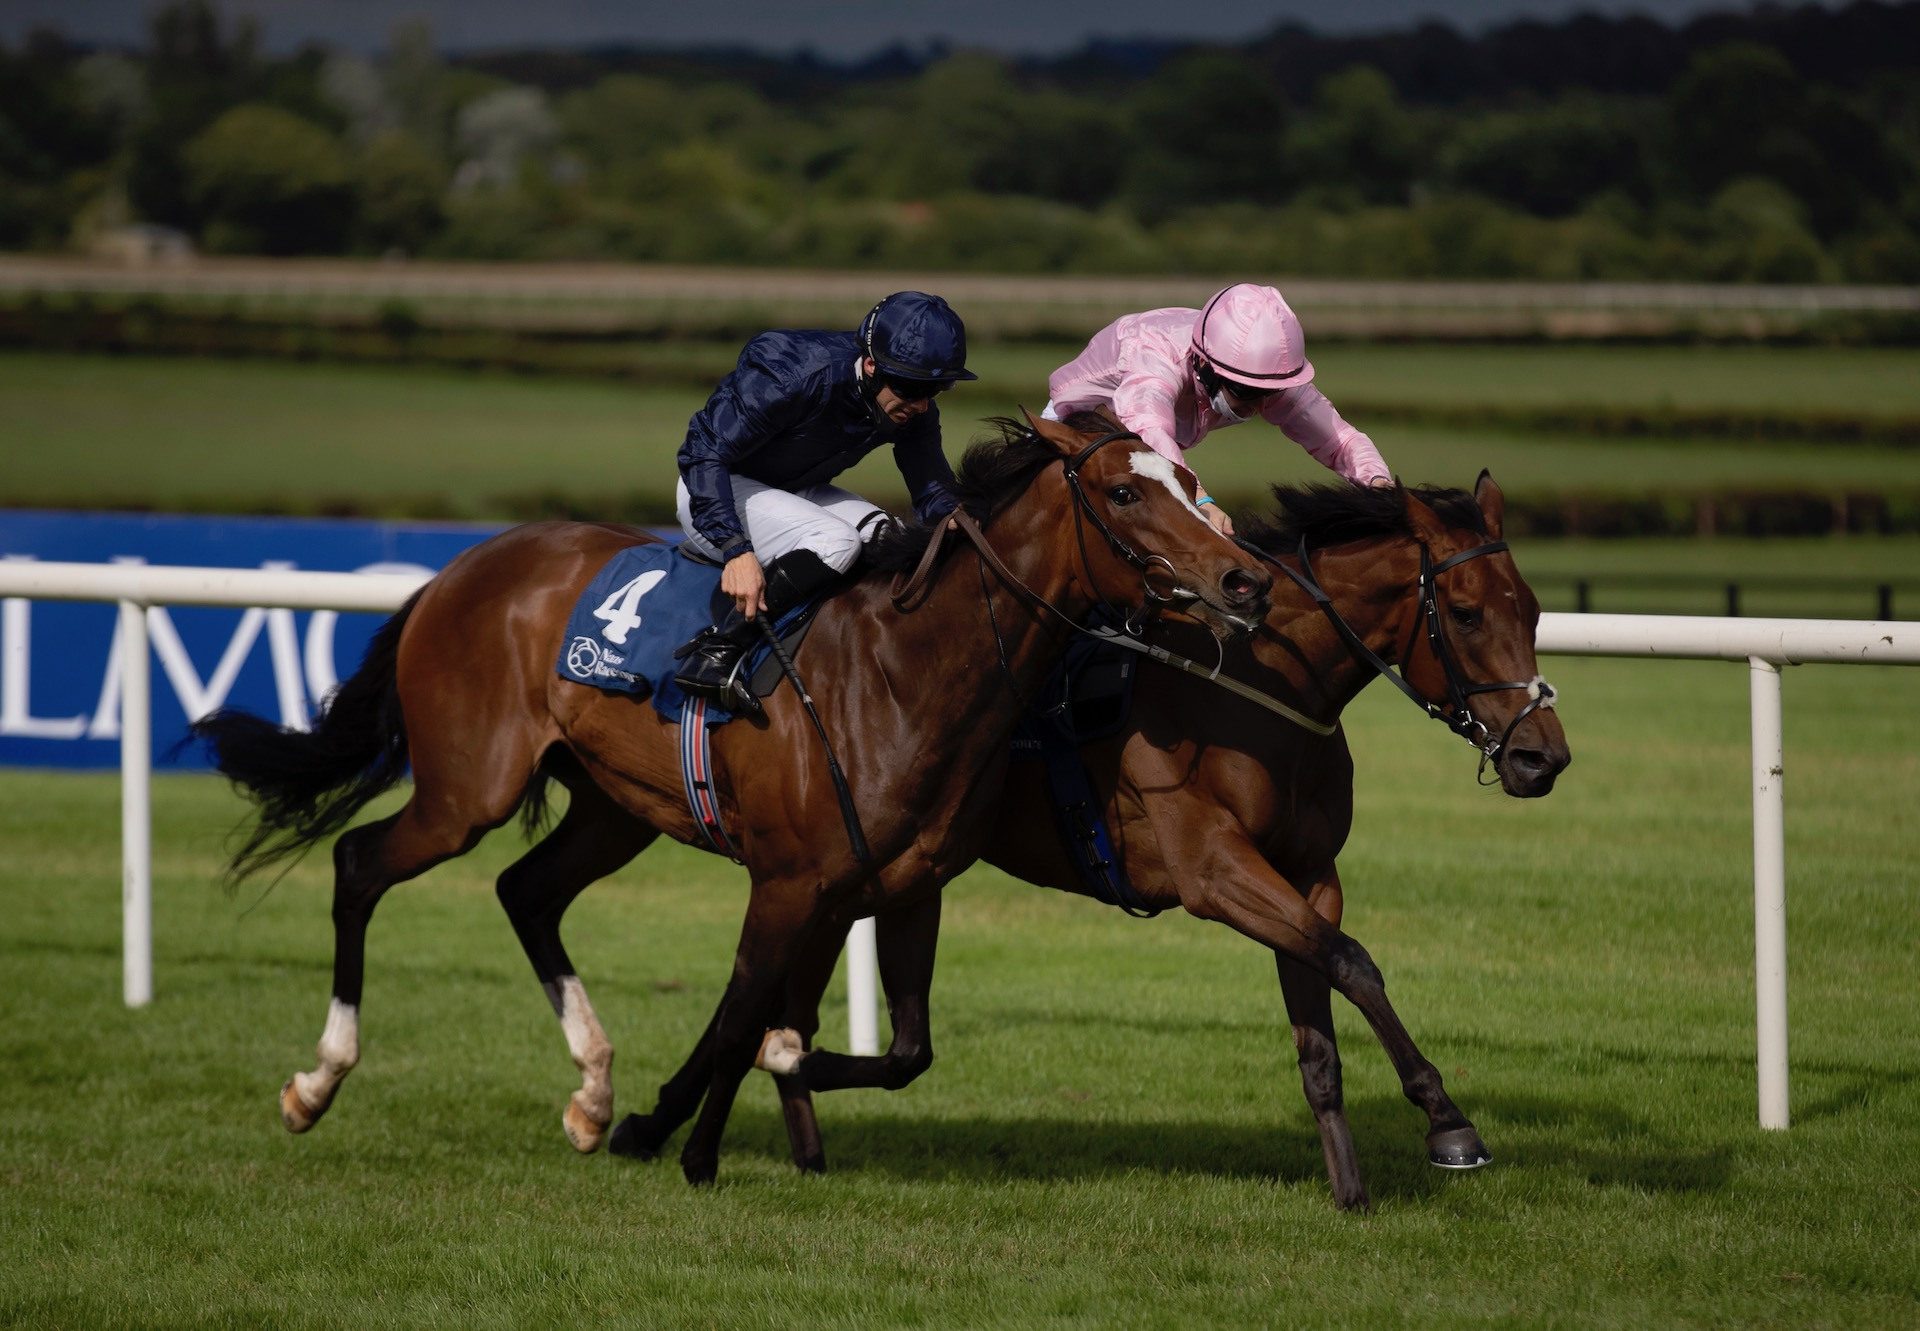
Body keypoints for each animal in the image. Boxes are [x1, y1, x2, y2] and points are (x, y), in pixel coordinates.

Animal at [198, 412, 1274, 1183]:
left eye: (1192, 483)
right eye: (1126, 489)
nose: (1244, 578)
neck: (905, 672)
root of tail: (461, 568)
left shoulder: (905, 885)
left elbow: (893, 1047)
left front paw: (742, 1091)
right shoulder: (788, 881)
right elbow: (746, 1007)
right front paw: (702, 1151)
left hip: (611, 808)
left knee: (527, 891)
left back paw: (593, 1090)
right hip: (469, 786)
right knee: (360, 865)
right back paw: (316, 1082)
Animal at [637, 472, 1566, 1206]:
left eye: (1533, 610)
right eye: (1467, 613)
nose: (1541, 756)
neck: (1263, 687)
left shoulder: (1308, 872)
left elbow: (1322, 1024)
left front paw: (1351, 1189)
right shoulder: (1214, 869)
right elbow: (1355, 962)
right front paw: (1448, 1122)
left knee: (773, 1000)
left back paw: (688, 1115)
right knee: (765, 998)